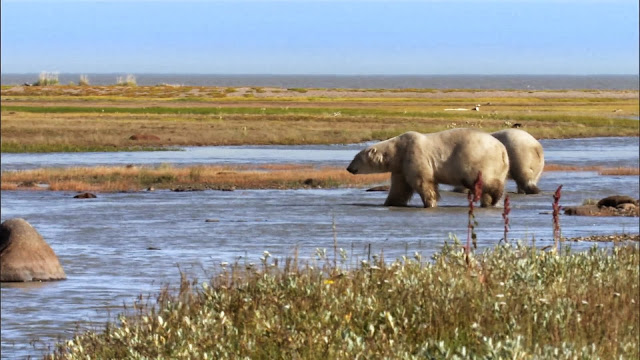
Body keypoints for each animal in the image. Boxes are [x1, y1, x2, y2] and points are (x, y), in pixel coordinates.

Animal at [348, 129, 508, 208]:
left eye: (355, 157)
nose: (349, 168)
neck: (398, 149)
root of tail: (503, 151)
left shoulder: (415, 155)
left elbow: (422, 181)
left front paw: (429, 203)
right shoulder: (401, 166)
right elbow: (400, 187)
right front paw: (390, 203)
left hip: (478, 159)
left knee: (482, 181)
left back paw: (495, 196)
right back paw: (488, 202)